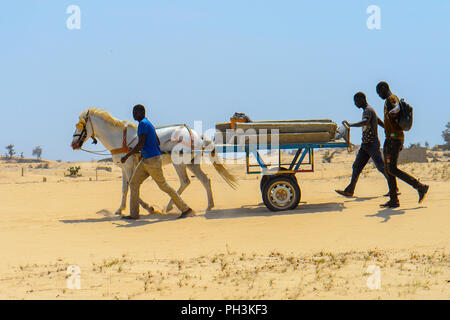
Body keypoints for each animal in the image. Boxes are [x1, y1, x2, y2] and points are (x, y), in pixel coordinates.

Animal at [70, 107, 237, 215]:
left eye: (80, 125)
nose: (73, 144)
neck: (119, 138)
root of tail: (196, 134)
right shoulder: (124, 168)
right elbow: (125, 188)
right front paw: (120, 209)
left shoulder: (129, 166)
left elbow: (131, 185)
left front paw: (148, 207)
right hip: (192, 163)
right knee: (205, 180)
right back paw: (209, 206)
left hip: (179, 163)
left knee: (185, 182)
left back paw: (170, 207)